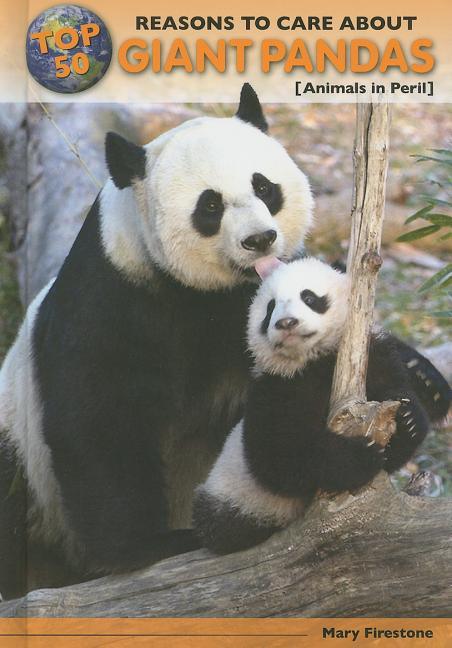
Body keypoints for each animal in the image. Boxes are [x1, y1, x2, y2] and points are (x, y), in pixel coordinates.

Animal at [193, 258, 450, 555]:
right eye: (270, 308)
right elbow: (280, 456)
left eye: (309, 297)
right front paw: (360, 456)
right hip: (234, 497)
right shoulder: (277, 388)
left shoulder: (376, 358)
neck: (316, 360)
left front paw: (408, 419)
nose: (286, 322)